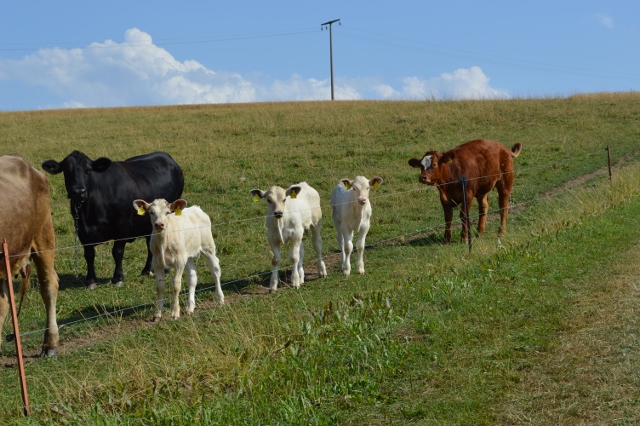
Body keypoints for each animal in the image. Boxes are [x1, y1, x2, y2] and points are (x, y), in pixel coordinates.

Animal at [42, 151, 184, 289]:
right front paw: (90, 280)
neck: (90, 211)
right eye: (66, 171)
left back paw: (164, 269)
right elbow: (89, 254)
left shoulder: (122, 226)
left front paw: (118, 278)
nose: (78, 191)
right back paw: (147, 270)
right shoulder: (82, 230)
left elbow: (117, 252)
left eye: (88, 170)